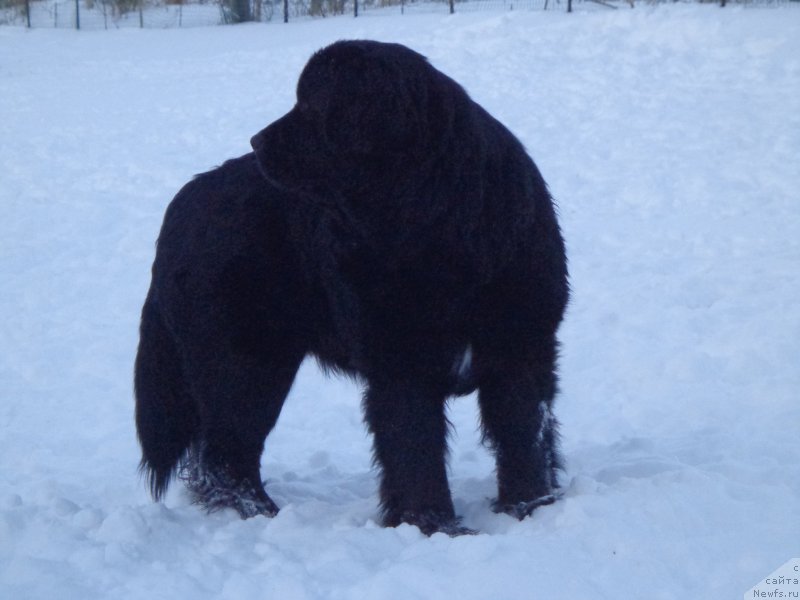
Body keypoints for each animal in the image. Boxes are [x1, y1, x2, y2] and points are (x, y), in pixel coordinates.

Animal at [134, 39, 568, 536]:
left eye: (310, 104)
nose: (255, 141)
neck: (435, 220)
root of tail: (181, 205)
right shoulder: (401, 364)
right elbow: (415, 449)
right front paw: (435, 526)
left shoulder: (519, 346)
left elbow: (523, 436)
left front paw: (531, 509)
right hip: (246, 364)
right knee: (227, 452)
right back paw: (261, 515)